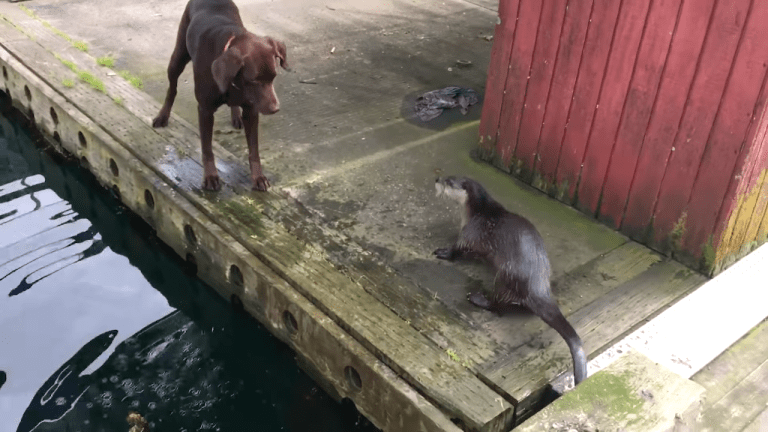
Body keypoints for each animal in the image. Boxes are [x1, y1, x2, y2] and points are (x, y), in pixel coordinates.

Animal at [153, 0, 288, 191]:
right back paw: (163, 116)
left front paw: (258, 176)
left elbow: (254, 150)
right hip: (178, 57)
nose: (275, 109)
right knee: (172, 88)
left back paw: (236, 115)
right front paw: (210, 176)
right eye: (254, 81)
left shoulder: (251, 111)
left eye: (274, 77)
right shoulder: (205, 110)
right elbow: (207, 149)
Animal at [432, 176, 588, 384]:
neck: (476, 212)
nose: (437, 179)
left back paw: (478, 298)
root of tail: (538, 287)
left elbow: (459, 248)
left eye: (449, 181)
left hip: (505, 276)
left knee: (498, 305)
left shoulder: (472, 231)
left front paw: (445, 252)